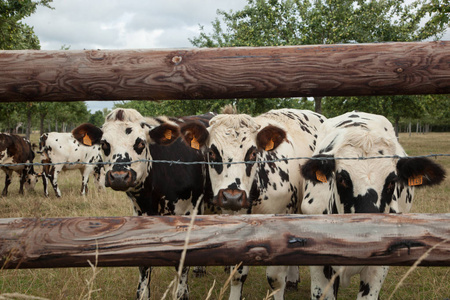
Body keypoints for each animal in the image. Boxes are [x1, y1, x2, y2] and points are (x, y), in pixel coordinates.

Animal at [72, 108, 216, 300]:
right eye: (104, 144)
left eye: (140, 143)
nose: (119, 176)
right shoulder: (141, 214)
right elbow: (144, 262)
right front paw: (143, 293)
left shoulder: (188, 213)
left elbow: (183, 261)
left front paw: (182, 292)